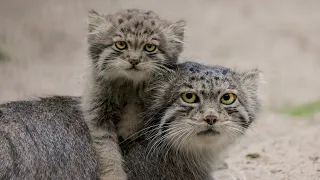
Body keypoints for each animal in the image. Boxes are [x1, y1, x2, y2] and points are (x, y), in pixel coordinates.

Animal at [83, 8, 185, 180]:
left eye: (150, 47)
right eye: (121, 44)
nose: (134, 60)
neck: (127, 83)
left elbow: (137, 105)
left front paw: (128, 128)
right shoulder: (97, 112)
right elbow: (106, 149)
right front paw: (113, 175)